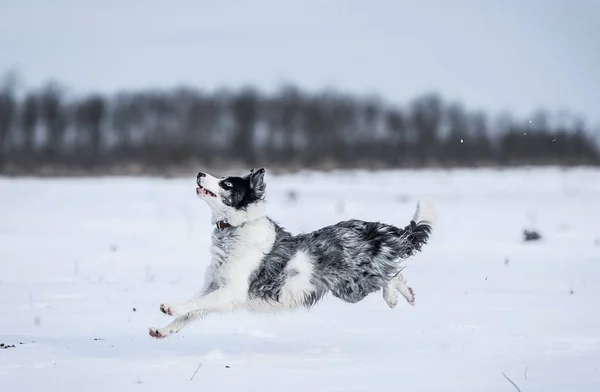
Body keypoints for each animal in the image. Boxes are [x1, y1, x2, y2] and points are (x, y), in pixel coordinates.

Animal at [148, 167, 434, 338]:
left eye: (227, 184)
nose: (199, 173)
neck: (235, 230)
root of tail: (376, 229)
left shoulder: (231, 291)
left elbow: (193, 305)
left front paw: (170, 307)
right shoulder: (214, 284)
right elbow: (191, 313)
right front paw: (162, 330)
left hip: (353, 286)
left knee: (390, 276)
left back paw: (396, 296)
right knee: (392, 273)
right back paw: (404, 296)